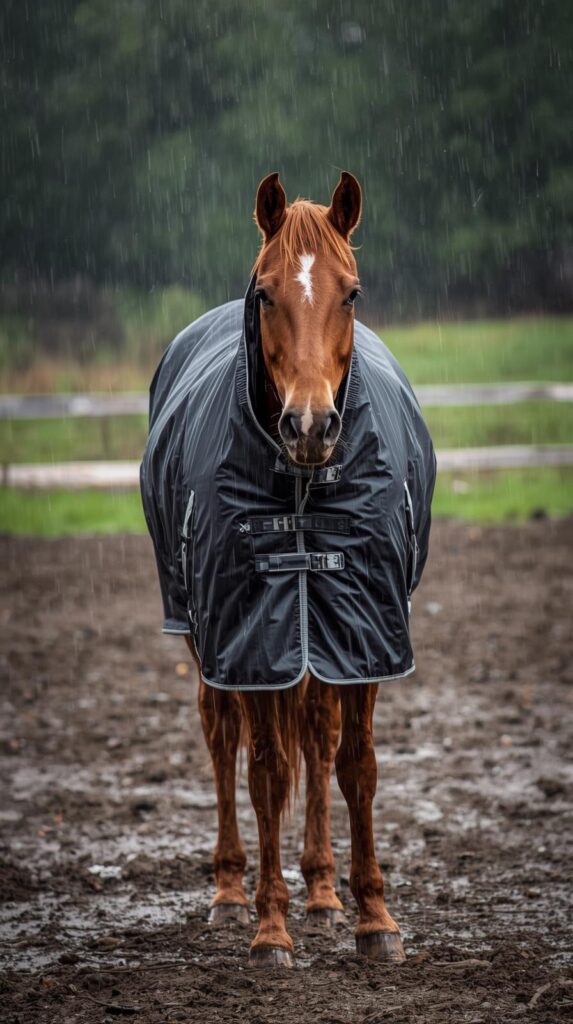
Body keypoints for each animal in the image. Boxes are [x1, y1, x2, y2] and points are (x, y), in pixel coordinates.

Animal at [140, 171, 436, 967]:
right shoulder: (252, 639)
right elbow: (267, 773)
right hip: (204, 631)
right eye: (267, 293)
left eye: (352, 292)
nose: (310, 425)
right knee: (223, 740)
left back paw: (324, 893)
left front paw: (373, 917)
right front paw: (271, 928)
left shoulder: (364, 632)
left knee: (316, 735)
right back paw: (230, 893)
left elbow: (354, 764)